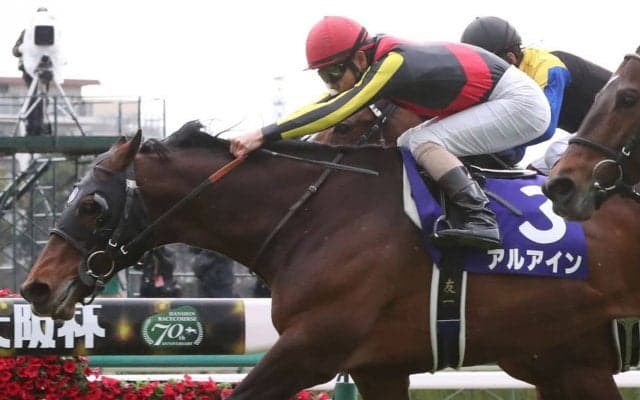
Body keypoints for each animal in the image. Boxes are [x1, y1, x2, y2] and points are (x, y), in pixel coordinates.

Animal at [19, 120, 640, 399]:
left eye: (93, 205)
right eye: (72, 196)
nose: (36, 288)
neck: (318, 217)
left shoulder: (312, 347)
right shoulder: (377, 364)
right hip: (561, 360)